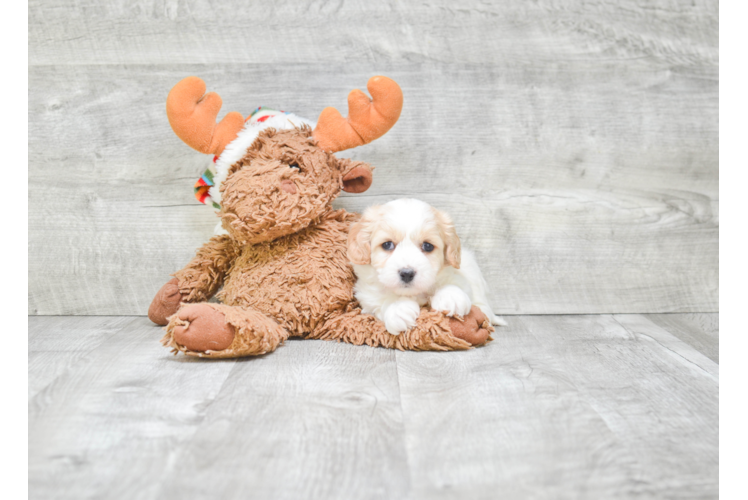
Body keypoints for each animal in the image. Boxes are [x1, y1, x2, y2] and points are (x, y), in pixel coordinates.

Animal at [348, 197, 506, 334]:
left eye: (427, 246)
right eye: (387, 244)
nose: (407, 273)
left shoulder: (461, 277)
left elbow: (454, 282)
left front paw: (451, 296)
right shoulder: (367, 296)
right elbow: (381, 300)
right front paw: (398, 309)